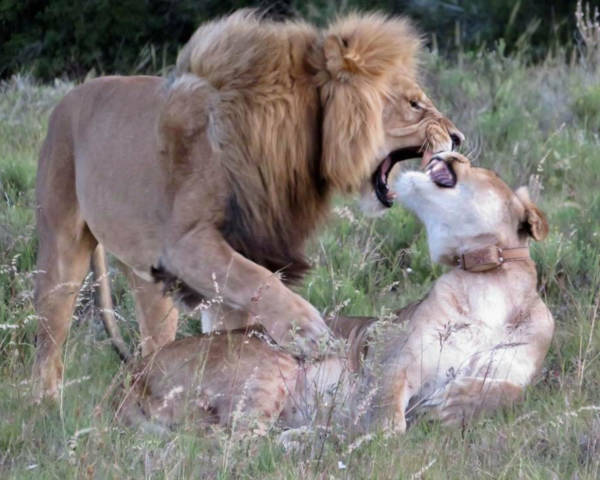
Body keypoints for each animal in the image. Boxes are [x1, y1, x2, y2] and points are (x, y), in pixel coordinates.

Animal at [32, 13, 464, 400]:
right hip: (62, 248)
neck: (300, 143)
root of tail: (69, 96)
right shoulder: (185, 243)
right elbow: (261, 281)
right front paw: (310, 335)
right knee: (50, 342)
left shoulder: (242, 248)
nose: (458, 137)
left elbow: (236, 326)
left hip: (148, 278)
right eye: (415, 104)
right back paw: (47, 407)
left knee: (152, 344)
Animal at [116, 153, 552, 436]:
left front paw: (454, 404)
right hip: (271, 364)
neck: (486, 284)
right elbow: (388, 418)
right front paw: (375, 436)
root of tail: (135, 373)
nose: (452, 148)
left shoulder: (513, 369)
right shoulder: (391, 356)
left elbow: (510, 392)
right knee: (232, 447)